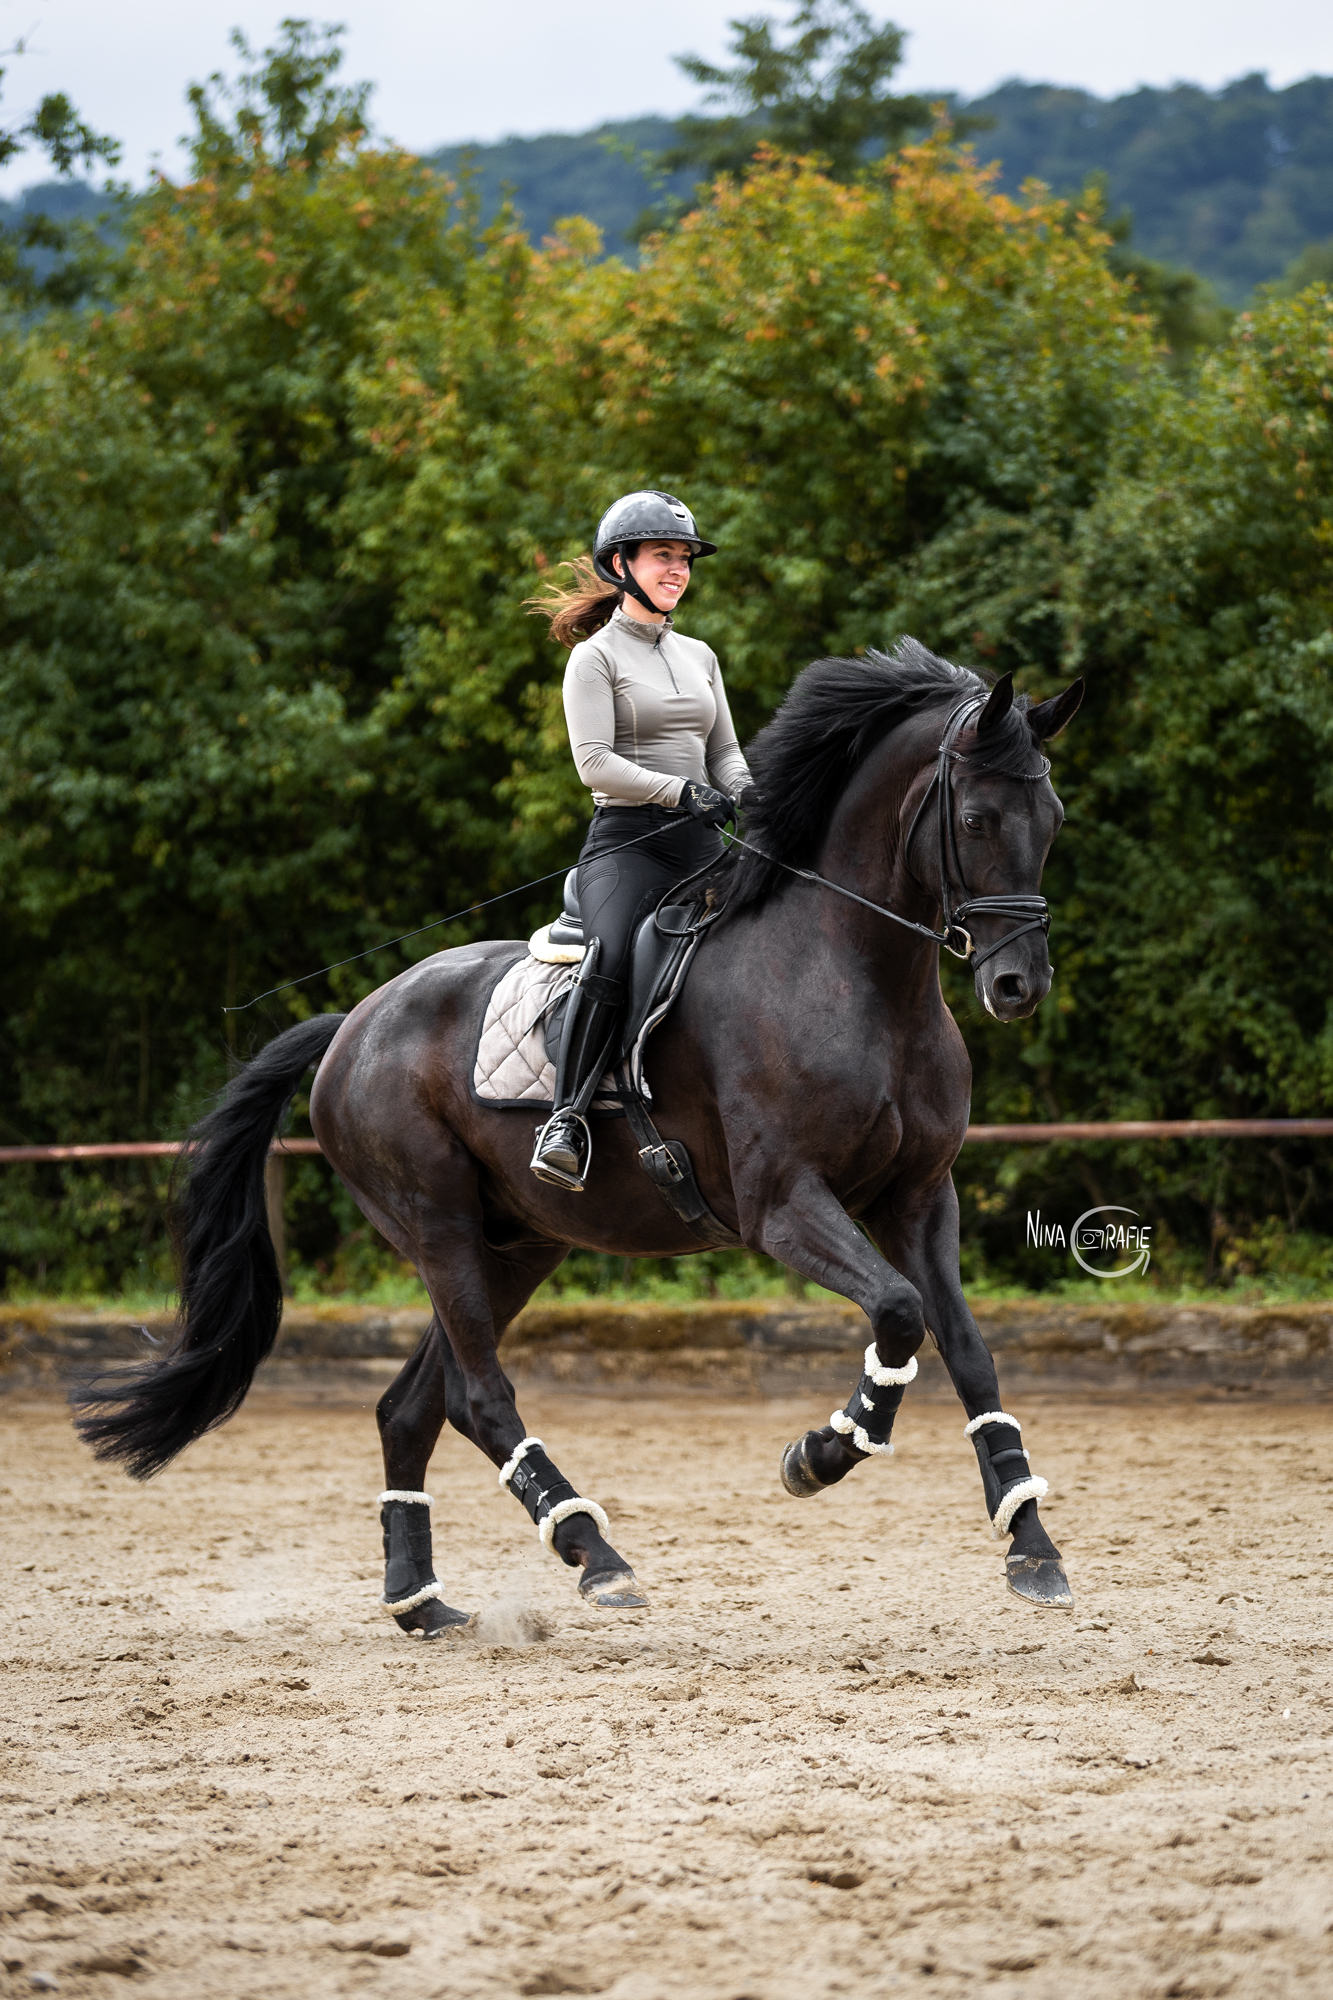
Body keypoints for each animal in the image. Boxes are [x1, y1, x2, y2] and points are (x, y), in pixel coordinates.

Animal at [74, 640, 1084, 1633]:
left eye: (1052, 818)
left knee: (412, 1406)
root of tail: (353, 1025)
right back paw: (593, 1555)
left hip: (516, 1245)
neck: (856, 975)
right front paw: (820, 1453)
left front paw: (1031, 1548)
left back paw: (421, 1601)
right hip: (437, 1226)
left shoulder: (918, 1199)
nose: (1017, 987)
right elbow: (899, 1315)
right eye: (978, 818)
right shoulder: (783, 1206)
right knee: (478, 1396)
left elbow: (966, 1350)